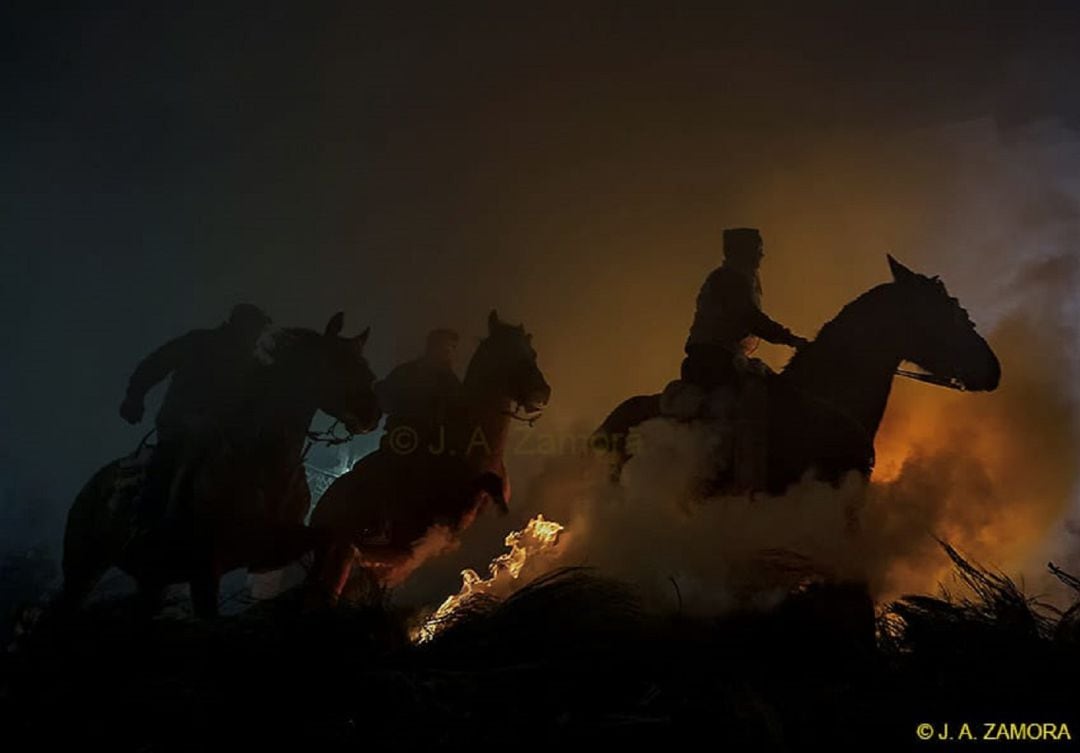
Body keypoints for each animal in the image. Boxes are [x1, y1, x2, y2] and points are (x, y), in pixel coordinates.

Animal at [59, 313, 382, 617]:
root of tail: (99, 481)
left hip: (151, 581)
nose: (372, 414)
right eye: (335, 362)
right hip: (82, 569)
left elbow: (328, 539)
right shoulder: (205, 569)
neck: (264, 465)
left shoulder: (273, 546)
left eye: (365, 367)